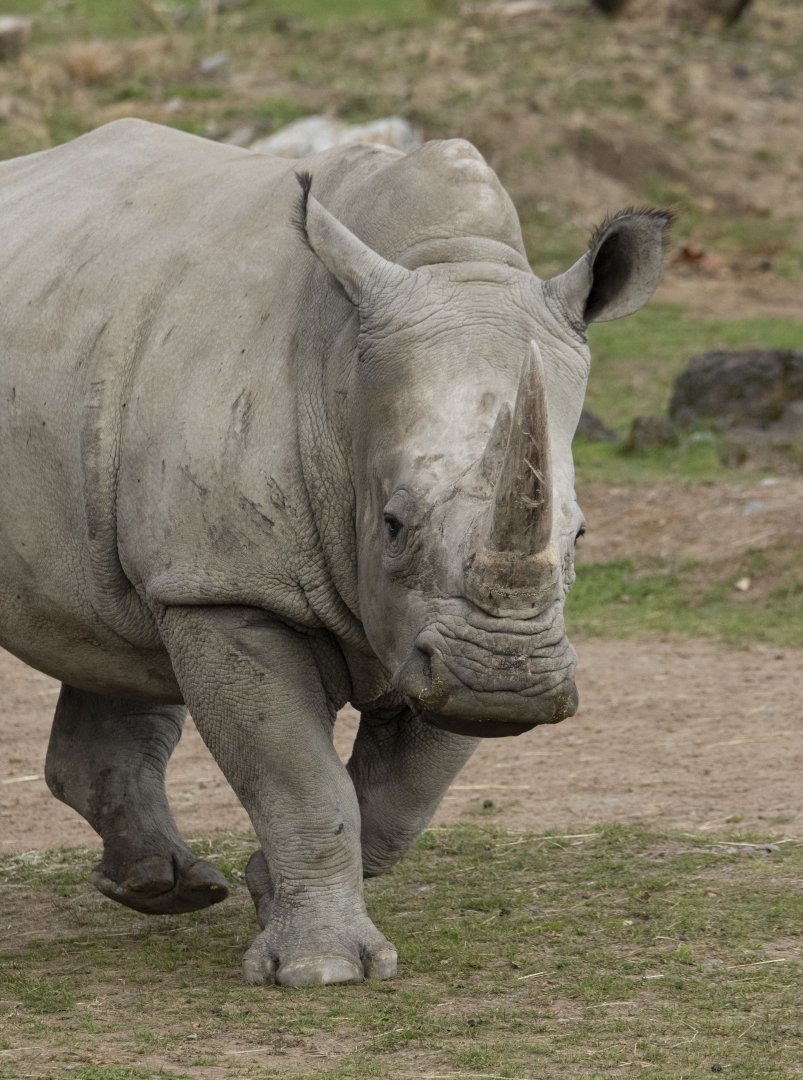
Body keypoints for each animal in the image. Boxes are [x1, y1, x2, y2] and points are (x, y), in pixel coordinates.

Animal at [0, 120, 670, 986]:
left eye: (580, 532)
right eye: (390, 523)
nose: (506, 684)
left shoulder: (443, 639)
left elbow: (399, 797)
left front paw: (264, 889)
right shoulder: (233, 588)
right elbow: (301, 783)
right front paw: (319, 970)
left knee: (116, 624)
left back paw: (165, 889)